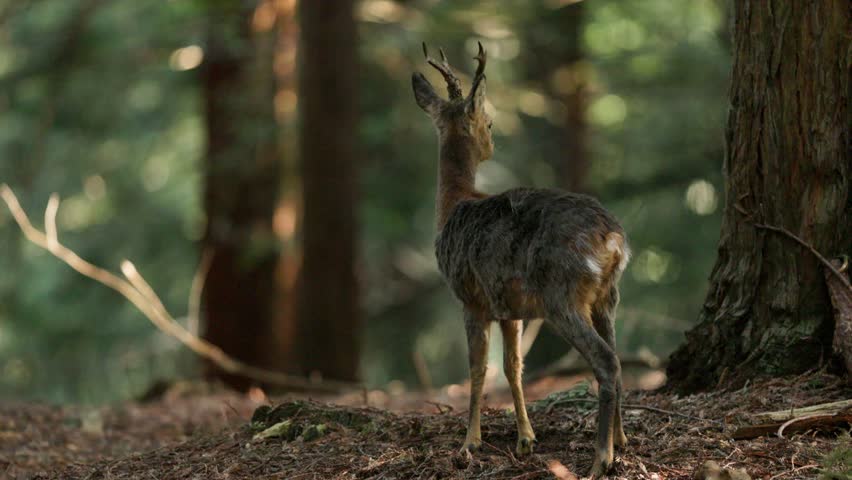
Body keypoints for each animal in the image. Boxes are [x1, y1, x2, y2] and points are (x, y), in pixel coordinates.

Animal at [411, 42, 630, 478]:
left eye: (489, 122)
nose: (492, 145)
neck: (454, 204)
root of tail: (612, 239)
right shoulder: (509, 308)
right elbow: (513, 366)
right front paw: (526, 437)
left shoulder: (470, 298)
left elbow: (478, 368)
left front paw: (470, 442)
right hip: (605, 296)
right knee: (615, 355)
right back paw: (622, 440)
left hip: (562, 294)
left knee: (605, 361)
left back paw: (601, 457)